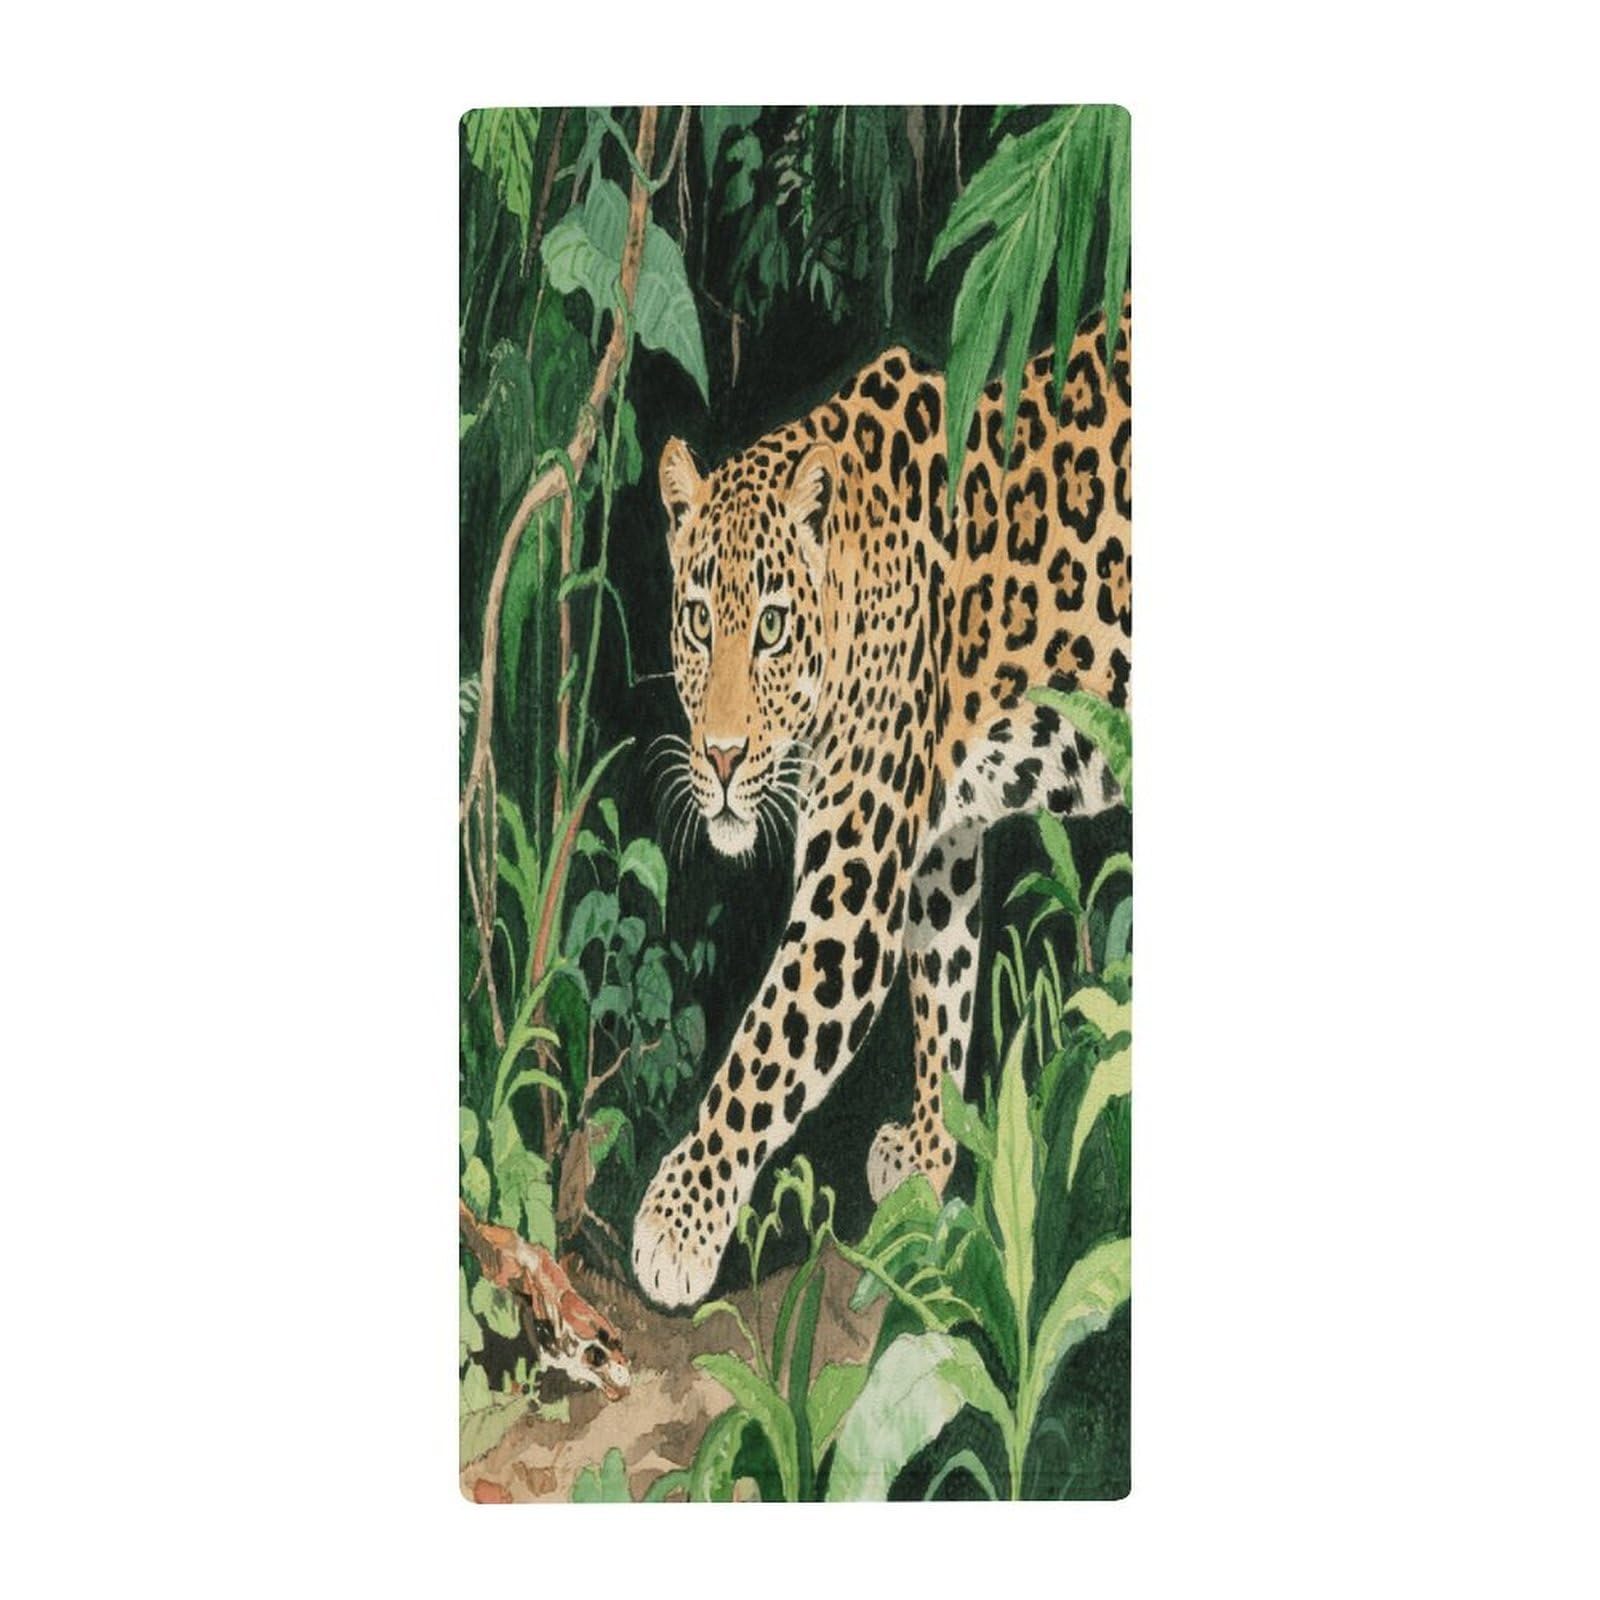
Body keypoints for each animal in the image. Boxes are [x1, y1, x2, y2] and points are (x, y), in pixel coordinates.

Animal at [633, 298, 1131, 1307]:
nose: (723, 756)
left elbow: (764, 1048)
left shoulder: (853, 891)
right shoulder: (939, 843)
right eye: (699, 620)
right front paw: (933, 1150)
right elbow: (945, 988)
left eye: (772, 627)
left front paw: (678, 1223)